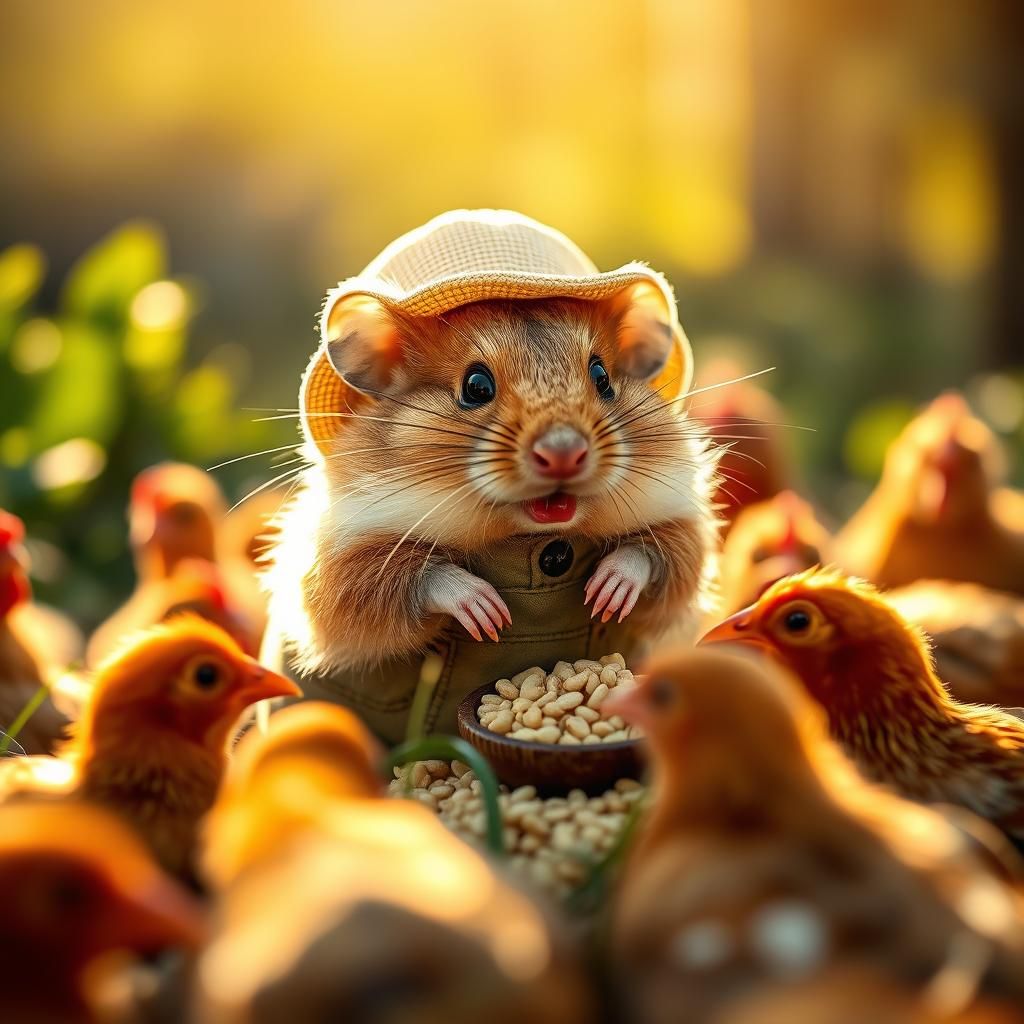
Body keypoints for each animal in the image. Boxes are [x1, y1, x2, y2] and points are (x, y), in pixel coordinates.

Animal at [264, 288, 719, 739]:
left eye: (602, 377)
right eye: (476, 386)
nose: (564, 453)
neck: (527, 534)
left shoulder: (681, 526)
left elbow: (657, 554)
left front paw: (606, 593)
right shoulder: (335, 573)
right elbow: (413, 577)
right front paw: (489, 614)